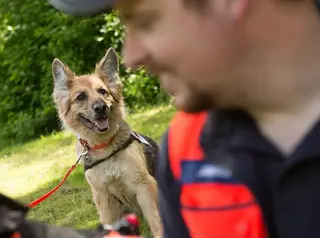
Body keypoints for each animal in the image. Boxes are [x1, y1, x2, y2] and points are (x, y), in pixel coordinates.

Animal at [53, 48, 162, 236]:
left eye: (103, 92)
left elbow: (156, 222)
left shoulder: (144, 187)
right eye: (80, 97)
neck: (105, 147)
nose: (101, 108)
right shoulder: (103, 197)